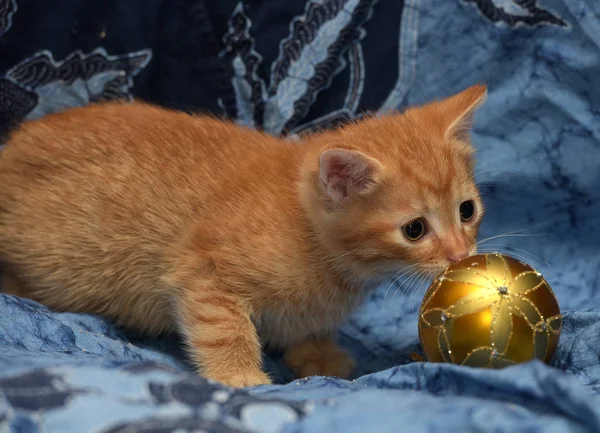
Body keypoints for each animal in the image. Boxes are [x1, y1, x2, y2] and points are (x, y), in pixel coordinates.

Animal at [0, 83, 488, 384]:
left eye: (467, 210)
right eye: (414, 229)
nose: (459, 253)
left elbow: (307, 326)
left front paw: (317, 351)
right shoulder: (202, 267)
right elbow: (223, 326)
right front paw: (239, 376)